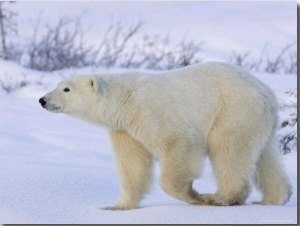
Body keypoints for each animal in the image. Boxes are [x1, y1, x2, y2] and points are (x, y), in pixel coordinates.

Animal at [38, 61, 292, 210]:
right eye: (58, 85)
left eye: (66, 89)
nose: (42, 100)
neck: (125, 101)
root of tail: (266, 92)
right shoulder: (124, 130)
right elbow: (132, 164)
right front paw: (117, 206)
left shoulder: (150, 111)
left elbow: (178, 143)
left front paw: (192, 195)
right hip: (258, 122)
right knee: (264, 157)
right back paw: (275, 198)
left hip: (233, 111)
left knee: (229, 151)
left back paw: (219, 197)